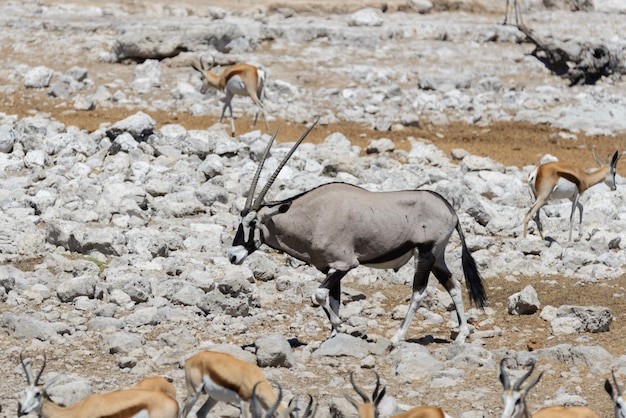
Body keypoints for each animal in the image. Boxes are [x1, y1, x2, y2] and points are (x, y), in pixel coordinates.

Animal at [229, 119, 488, 342]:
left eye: (252, 222)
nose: (232, 256)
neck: (313, 215)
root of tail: (450, 209)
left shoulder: (345, 264)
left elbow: (319, 295)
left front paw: (341, 327)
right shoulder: (331, 268)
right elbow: (333, 299)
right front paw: (333, 337)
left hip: (425, 254)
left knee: (419, 293)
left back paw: (397, 338)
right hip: (437, 257)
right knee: (453, 285)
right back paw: (462, 334)